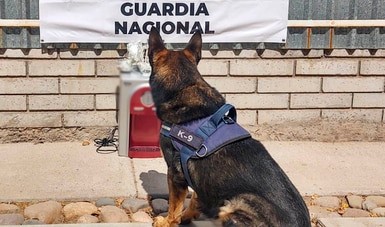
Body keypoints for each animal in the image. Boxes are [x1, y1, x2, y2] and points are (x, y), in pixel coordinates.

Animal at [147, 27, 308, 227]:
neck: (186, 86)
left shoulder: (175, 175)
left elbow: (173, 208)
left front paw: (168, 221)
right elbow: (195, 199)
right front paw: (187, 216)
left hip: (235, 207)